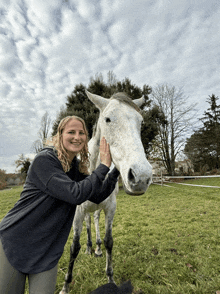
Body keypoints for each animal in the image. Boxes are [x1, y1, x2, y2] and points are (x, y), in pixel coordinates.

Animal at [59, 90, 152, 292]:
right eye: (108, 119)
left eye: (141, 122)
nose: (141, 177)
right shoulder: (78, 212)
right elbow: (74, 247)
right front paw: (66, 285)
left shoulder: (110, 208)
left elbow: (109, 241)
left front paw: (110, 278)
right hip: (84, 212)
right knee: (87, 226)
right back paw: (89, 248)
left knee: (94, 221)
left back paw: (97, 249)